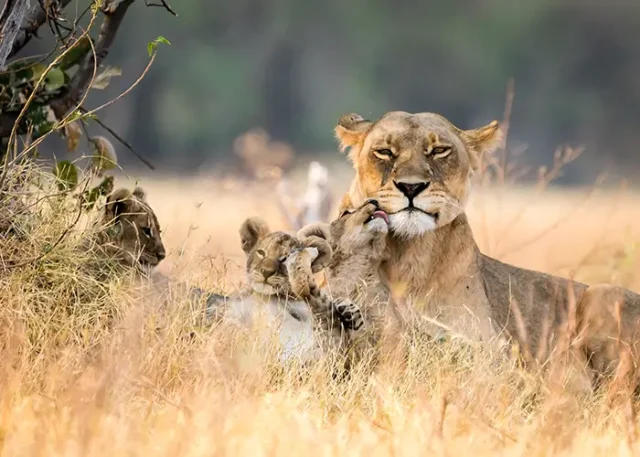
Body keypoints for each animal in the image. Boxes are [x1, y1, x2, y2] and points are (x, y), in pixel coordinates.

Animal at [334, 110, 640, 393]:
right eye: (384, 152)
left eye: (439, 150)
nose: (411, 187)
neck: (409, 256)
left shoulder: (492, 357)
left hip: (602, 295)